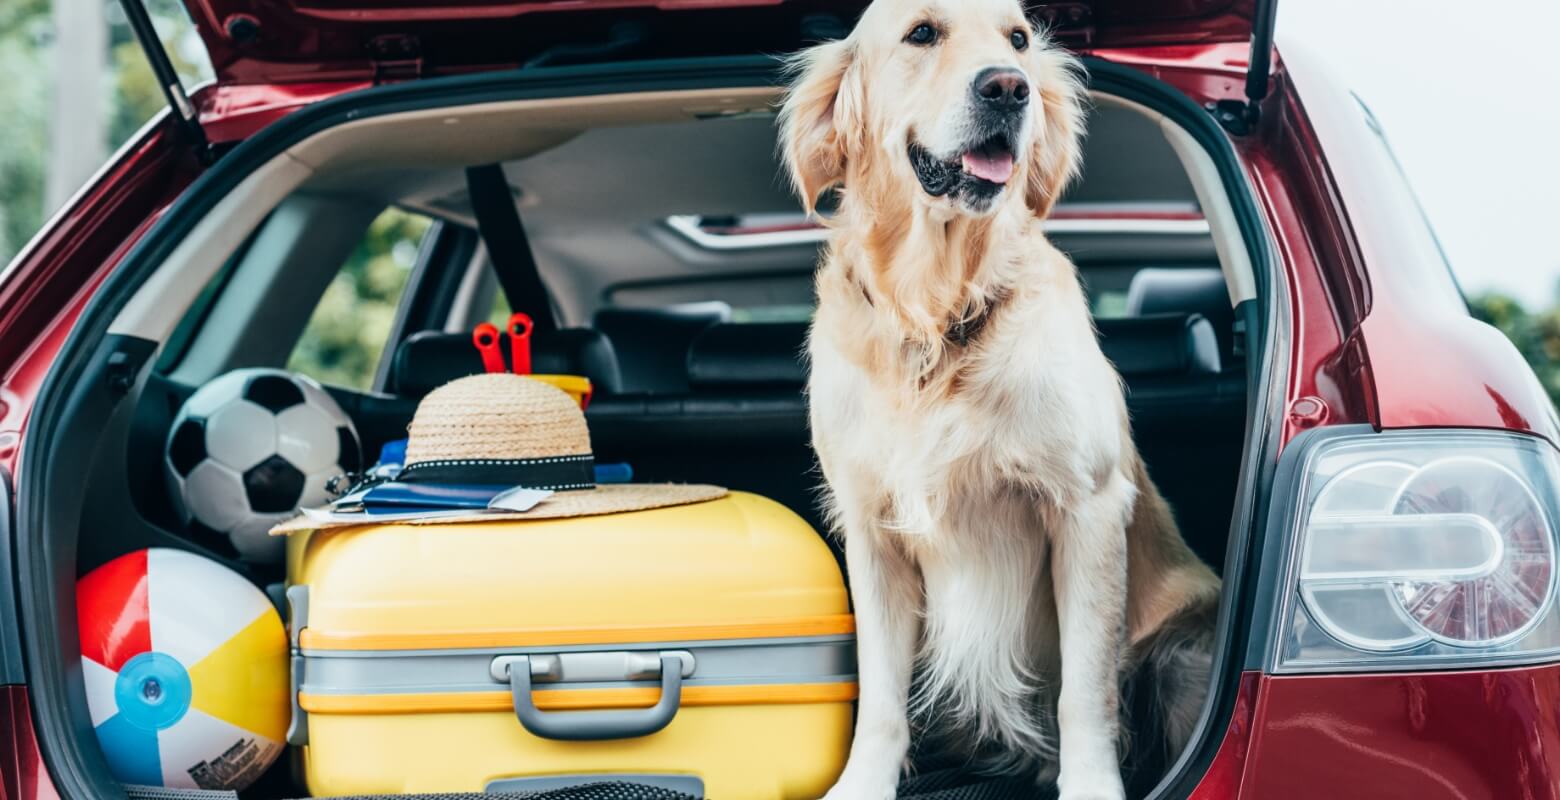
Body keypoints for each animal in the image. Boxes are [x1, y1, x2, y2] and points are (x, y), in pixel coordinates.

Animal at [780, 1, 1216, 798]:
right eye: (922, 33)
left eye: (1018, 39)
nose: (1009, 88)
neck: (937, 315)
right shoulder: (872, 530)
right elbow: (881, 693)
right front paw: (863, 782)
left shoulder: (1085, 507)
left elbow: (1085, 691)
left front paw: (1092, 786)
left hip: (1185, 648)